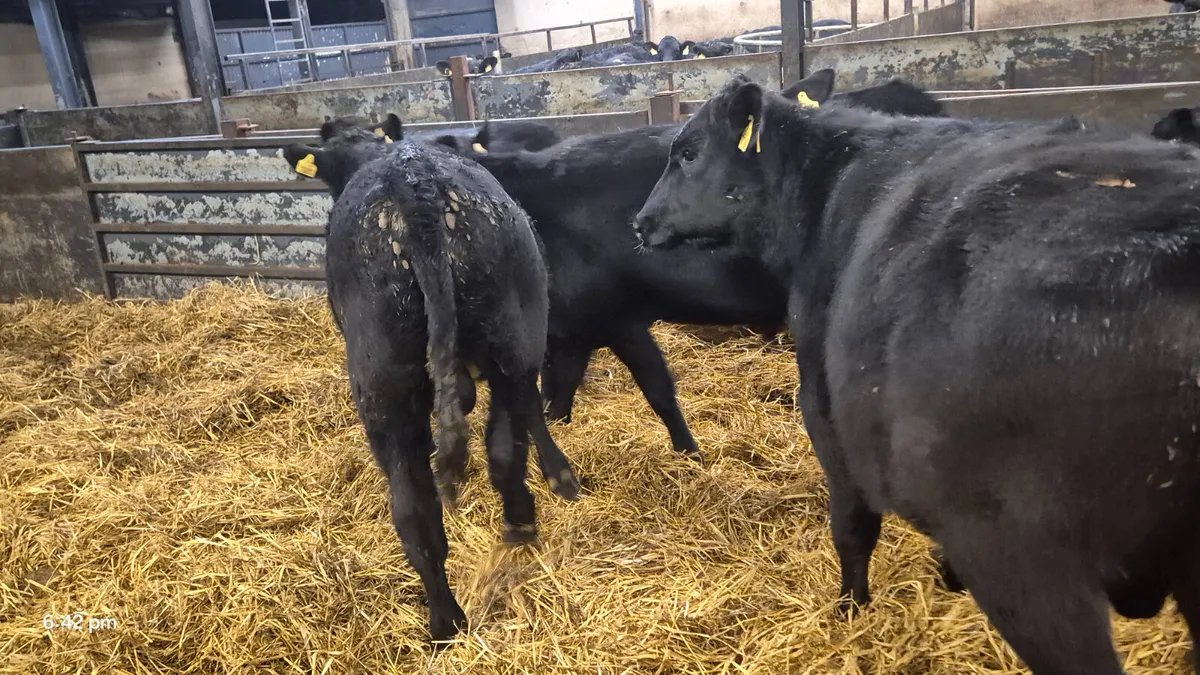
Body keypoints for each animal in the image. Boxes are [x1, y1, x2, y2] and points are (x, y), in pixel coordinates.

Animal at [280, 123, 581, 642]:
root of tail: (413, 187)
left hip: (385, 385)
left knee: (416, 502)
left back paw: (446, 621)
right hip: (504, 343)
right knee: (490, 451)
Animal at [632, 72, 1200, 674]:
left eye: (688, 153)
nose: (640, 222)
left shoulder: (825, 414)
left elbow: (852, 528)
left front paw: (850, 611)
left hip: (1024, 560)